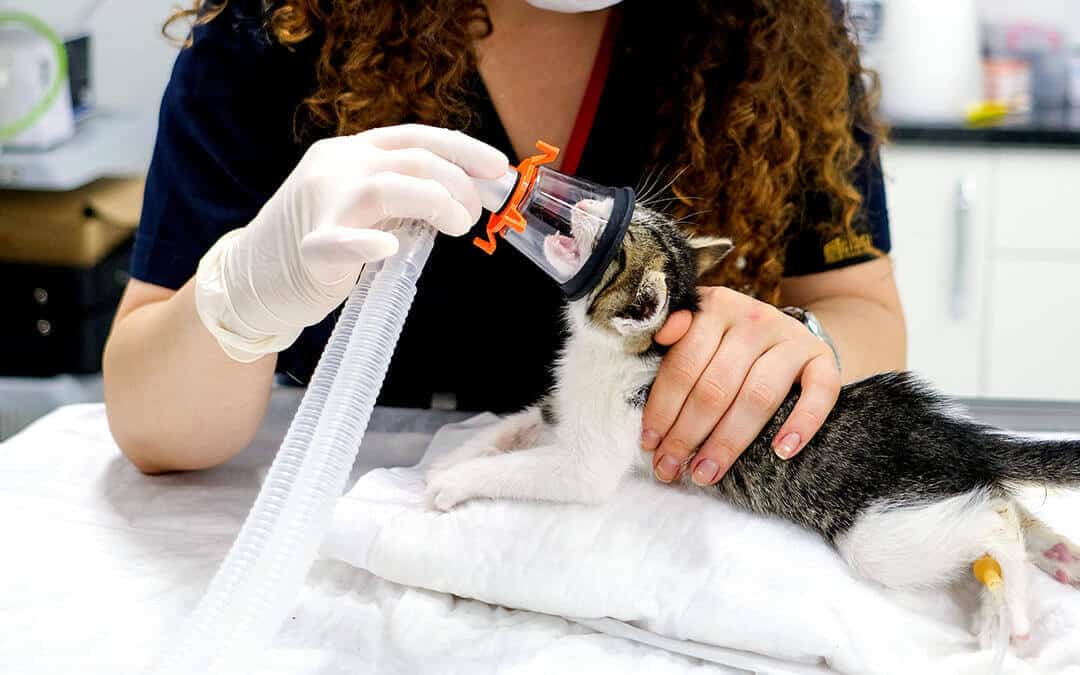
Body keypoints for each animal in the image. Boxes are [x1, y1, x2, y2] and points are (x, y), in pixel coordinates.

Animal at [423, 203, 1080, 643]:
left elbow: (531, 470)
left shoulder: (588, 461)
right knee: (1004, 501)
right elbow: (508, 428)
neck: (614, 352)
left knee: (994, 521)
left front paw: (451, 485)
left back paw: (1018, 615)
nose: (586, 203)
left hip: (886, 533)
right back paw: (1057, 556)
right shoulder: (555, 409)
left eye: (621, 244)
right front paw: (446, 460)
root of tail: (950, 433)